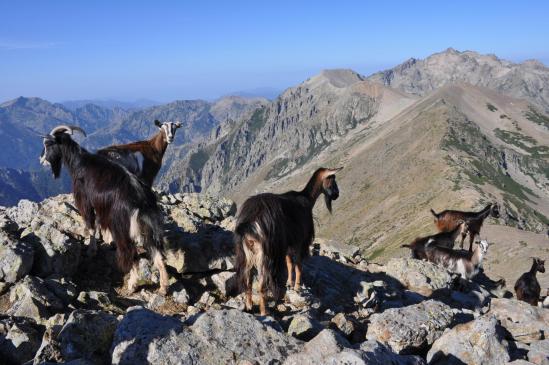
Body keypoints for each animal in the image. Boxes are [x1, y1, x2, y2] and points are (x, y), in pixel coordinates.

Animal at [39, 124, 169, 292]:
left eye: (48, 144)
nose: (41, 160)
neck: (79, 162)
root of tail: (141, 200)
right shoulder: (102, 206)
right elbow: (101, 223)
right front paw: (107, 241)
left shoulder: (86, 201)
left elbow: (91, 226)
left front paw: (91, 250)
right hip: (147, 228)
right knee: (157, 253)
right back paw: (164, 287)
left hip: (122, 227)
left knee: (131, 253)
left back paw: (132, 284)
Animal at [233, 166, 340, 314]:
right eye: (332, 179)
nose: (337, 194)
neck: (307, 199)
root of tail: (249, 223)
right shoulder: (300, 240)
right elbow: (299, 264)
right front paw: (297, 287)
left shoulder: (289, 243)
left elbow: (289, 263)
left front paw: (290, 283)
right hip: (265, 253)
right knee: (261, 282)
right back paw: (264, 311)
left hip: (246, 253)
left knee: (247, 279)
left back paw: (249, 305)